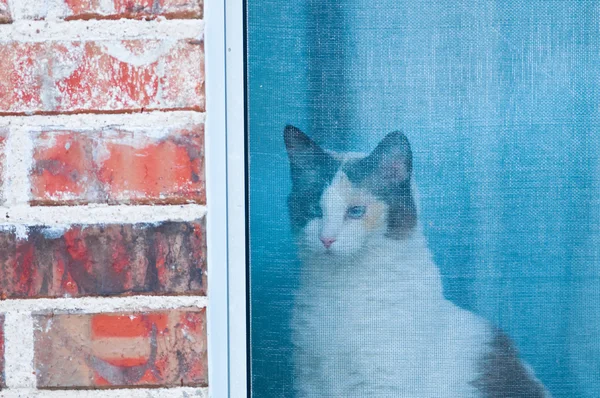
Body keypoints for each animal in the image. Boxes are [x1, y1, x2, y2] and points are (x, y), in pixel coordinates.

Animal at [284, 126, 552, 398]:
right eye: (314, 209)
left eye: (356, 211)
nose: (326, 238)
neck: (342, 286)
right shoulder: (310, 380)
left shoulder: (382, 381)